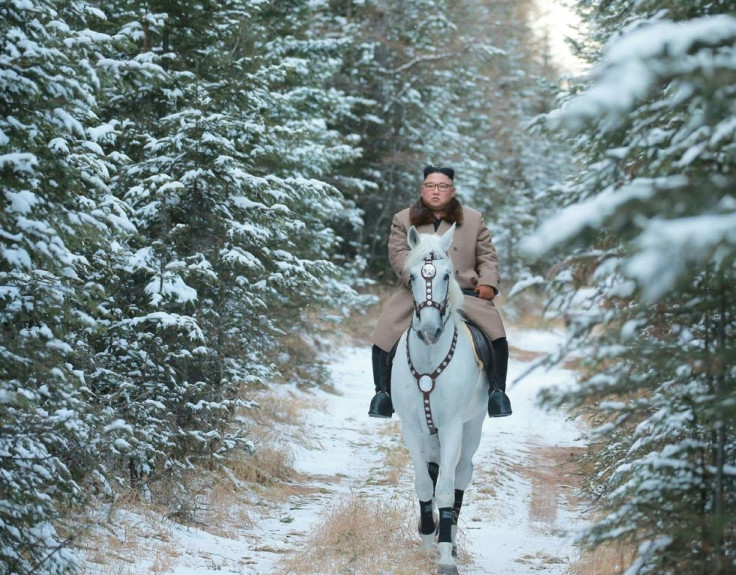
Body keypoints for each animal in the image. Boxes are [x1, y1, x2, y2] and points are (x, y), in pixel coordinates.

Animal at [392, 225, 488, 575]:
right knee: (433, 473)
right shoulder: (411, 427)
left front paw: (445, 554)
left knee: (461, 475)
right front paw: (426, 535)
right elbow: (424, 483)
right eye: (412, 277)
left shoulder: (451, 428)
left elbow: (446, 490)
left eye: (447, 275)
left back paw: (453, 538)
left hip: (472, 427)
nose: (430, 330)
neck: (430, 358)